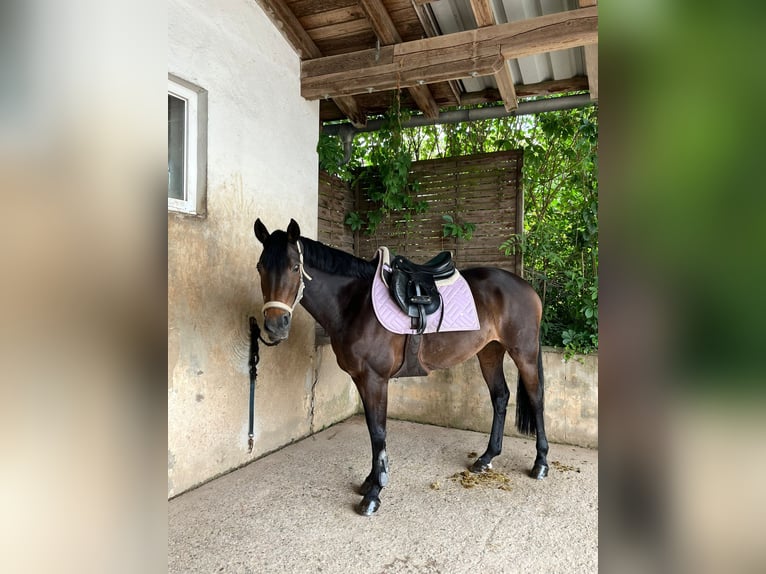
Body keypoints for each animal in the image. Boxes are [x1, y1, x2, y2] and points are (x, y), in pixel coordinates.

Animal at [255, 220, 548, 516]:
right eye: (260, 267)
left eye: (295, 267)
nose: (275, 325)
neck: (354, 304)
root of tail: (527, 287)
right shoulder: (361, 379)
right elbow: (373, 430)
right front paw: (370, 481)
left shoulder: (375, 379)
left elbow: (378, 433)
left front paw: (374, 492)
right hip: (489, 352)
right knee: (500, 396)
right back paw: (486, 458)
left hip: (524, 353)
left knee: (536, 398)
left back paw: (541, 463)